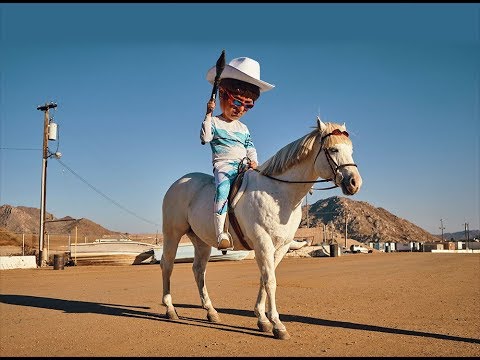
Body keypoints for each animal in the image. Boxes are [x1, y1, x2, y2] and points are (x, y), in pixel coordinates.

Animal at [159, 116, 362, 338]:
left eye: (351, 150)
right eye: (333, 149)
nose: (355, 182)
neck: (278, 193)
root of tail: (178, 183)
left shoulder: (280, 246)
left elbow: (264, 279)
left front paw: (262, 319)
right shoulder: (263, 242)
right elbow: (270, 280)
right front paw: (277, 325)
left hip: (202, 241)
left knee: (198, 270)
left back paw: (211, 312)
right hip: (173, 234)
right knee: (167, 265)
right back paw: (170, 309)